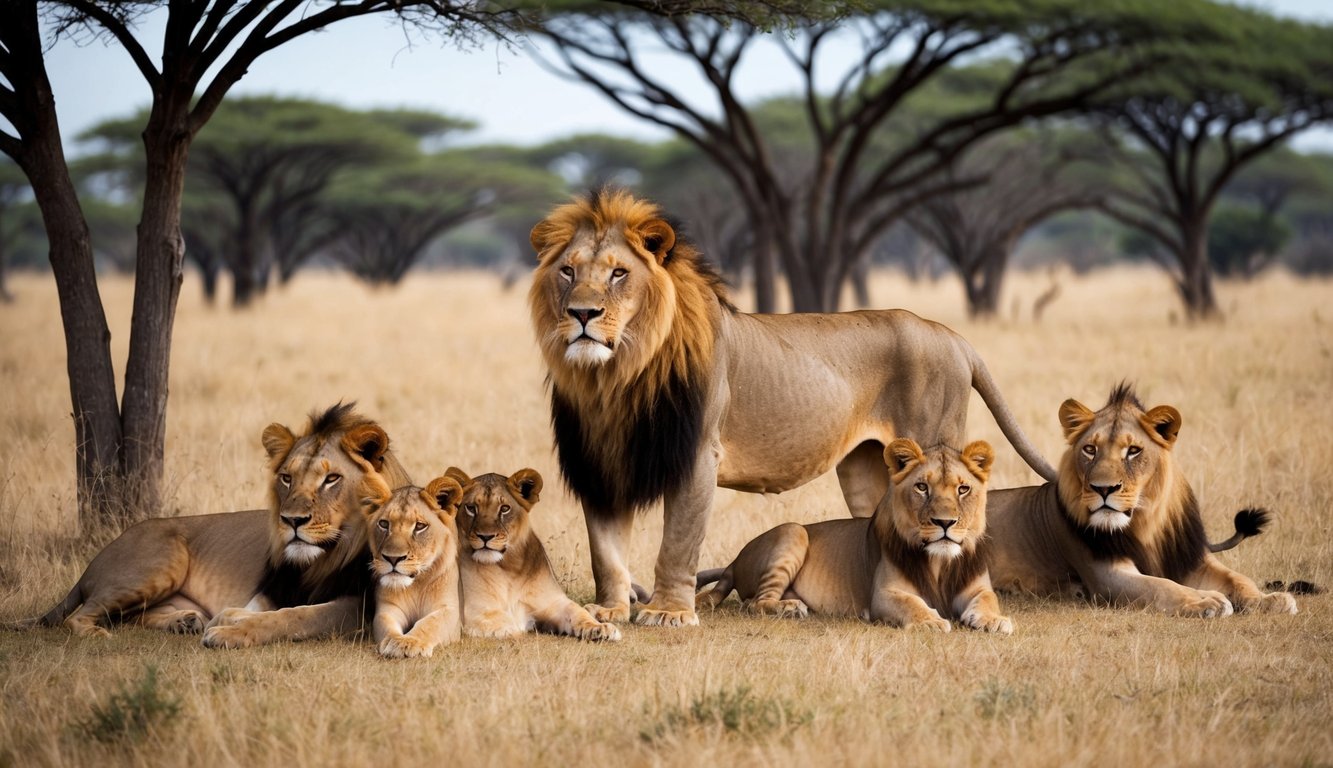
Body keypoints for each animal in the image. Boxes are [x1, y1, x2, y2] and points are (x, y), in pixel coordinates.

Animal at [17, 403, 408, 640]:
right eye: (286, 478)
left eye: (332, 479)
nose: (291, 520)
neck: (322, 559)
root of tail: (93, 563)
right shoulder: (271, 589)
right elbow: (255, 610)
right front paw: (229, 620)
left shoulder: (356, 607)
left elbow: (296, 616)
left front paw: (229, 628)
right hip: (162, 563)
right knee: (79, 616)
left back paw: (184, 621)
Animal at [359, 474, 464, 659]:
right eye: (384, 524)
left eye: (420, 526)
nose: (393, 558)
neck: (417, 584)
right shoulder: (388, 608)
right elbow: (387, 625)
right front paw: (395, 642)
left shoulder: (449, 610)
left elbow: (429, 623)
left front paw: (409, 642)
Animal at [448, 467, 621, 642]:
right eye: (471, 508)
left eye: (504, 508)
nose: (485, 536)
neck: (509, 568)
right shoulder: (477, 613)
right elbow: (510, 628)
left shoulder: (555, 603)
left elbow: (579, 612)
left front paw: (602, 628)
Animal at [696, 438, 1012, 634]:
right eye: (922, 487)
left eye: (963, 489)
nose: (944, 522)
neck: (940, 564)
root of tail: (734, 563)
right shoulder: (883, 595)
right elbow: (912, 604)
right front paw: (930, 622)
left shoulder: (977, 587)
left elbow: (988, 600)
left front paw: (995, 620)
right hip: (793, 531)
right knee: (755, 603)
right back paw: (789, 607)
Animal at [986, 384, 1298, 617]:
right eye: (1090, 449)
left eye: (1133, 451)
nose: (1104, 488)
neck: (1144, 523)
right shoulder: (1107, 577)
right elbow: (1163, 586)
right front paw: (1207, 600)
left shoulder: (1190, 558)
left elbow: (1238, 578)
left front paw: (1271, 599)